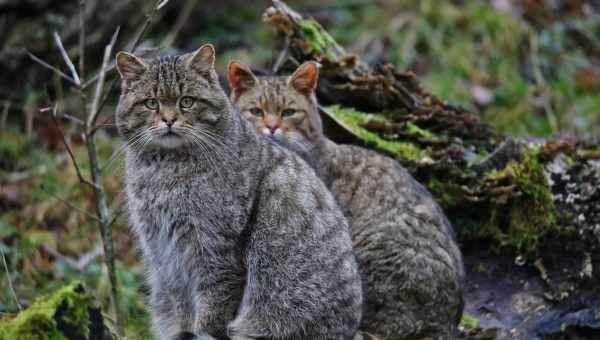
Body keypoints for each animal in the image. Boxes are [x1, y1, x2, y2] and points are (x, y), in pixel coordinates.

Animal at [115, 45, 364, 340]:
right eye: (151, 103)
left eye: (186, 101)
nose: (169, 120)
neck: (165, 169)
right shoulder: (164, 251)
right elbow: (181, 306)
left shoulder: (215, 249)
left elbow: (211, 310)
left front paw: (201, 331)